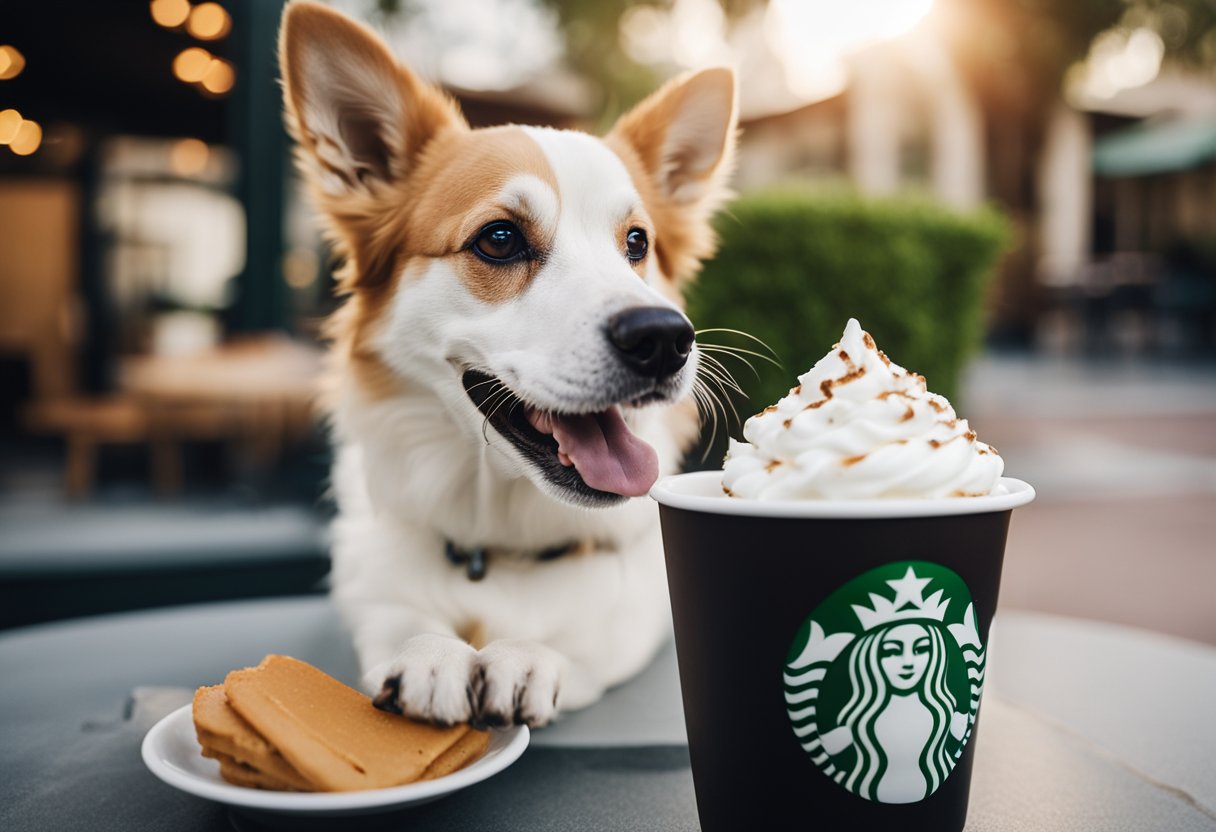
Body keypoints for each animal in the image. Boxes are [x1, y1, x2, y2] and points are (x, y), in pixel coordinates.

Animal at [280, 3, 734, 724]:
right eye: (499, 239)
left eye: (637, 243)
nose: (665, 339)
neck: (494, 532)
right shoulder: (370, 579)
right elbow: (394, 616)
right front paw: (428, 651)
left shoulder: (638, 603)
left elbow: (592, 631)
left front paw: (528, 653)